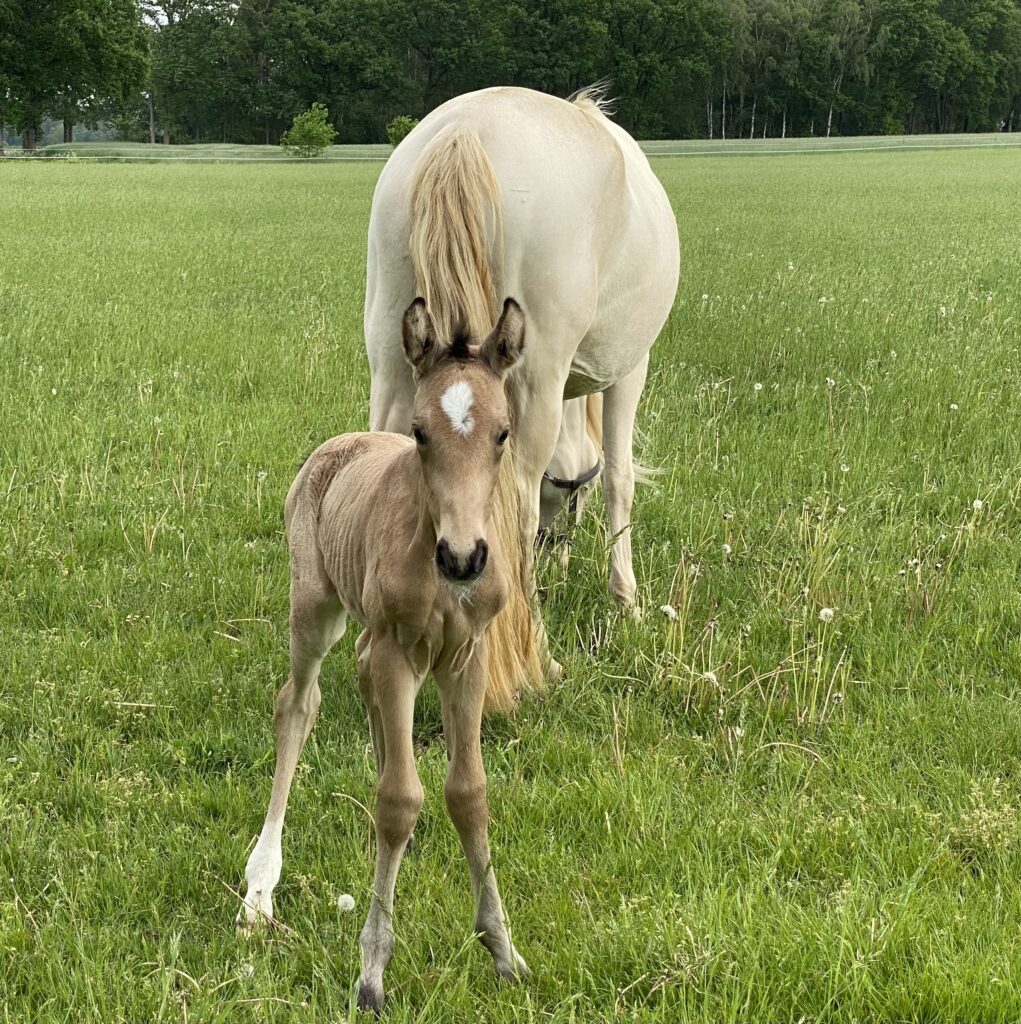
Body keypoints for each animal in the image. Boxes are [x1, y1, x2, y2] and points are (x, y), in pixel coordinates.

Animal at [364, 86, 675, 679]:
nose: (561, 551)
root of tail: (467, 129)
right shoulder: (630, 370)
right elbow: (619, 479)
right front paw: (625, 600)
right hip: (534, 381)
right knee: (521, 507)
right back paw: (537, 653)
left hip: (392, 362)